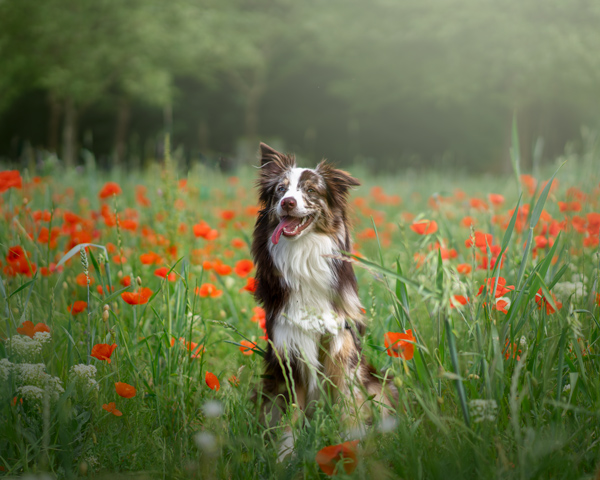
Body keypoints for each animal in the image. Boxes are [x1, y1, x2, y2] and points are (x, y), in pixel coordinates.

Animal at [251, 143, 396, 458]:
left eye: (310, 190)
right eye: (280, 190)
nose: (288, 203)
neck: (302, 254)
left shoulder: (341, 347)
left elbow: (348, 408)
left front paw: (351, 447)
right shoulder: (290, 351)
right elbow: (290, 416)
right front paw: (284, 457)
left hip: (378, 384)